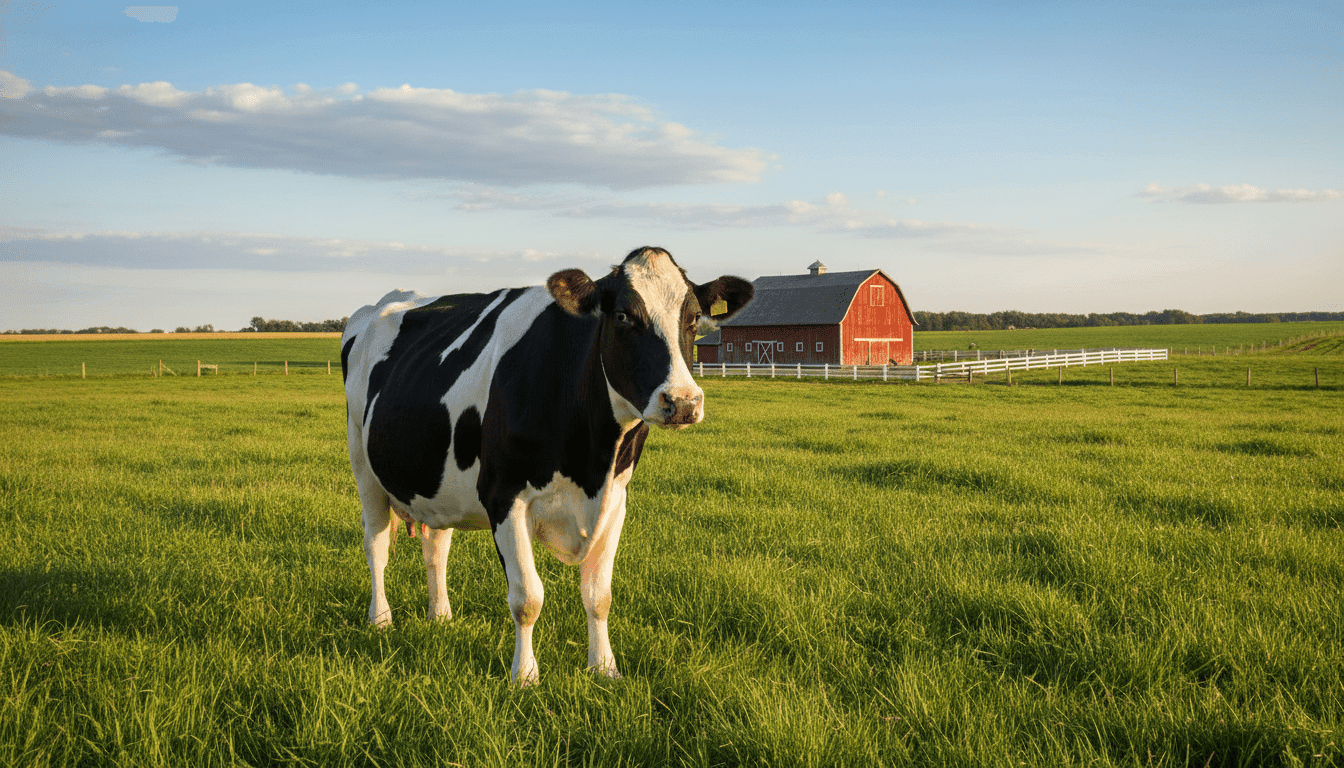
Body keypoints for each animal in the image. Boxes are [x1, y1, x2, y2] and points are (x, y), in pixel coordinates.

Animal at [341, 246, 753, 684]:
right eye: (623, 316)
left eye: (693, 318)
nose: (683, 402)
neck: (590, 462)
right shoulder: (504, 496)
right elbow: (527, 597)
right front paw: (524, 677)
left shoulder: (616, 498)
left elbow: (599, 595)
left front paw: (604, 668)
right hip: (363, 466)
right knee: (376, 543)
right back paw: (381, 620)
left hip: (437, 480)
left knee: (436, 547)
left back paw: (441, 617)